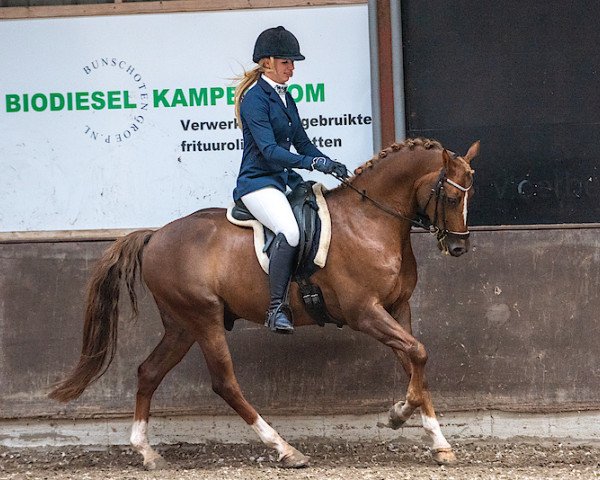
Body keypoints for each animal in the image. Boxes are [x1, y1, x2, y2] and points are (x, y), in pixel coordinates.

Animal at [49, 138, 480, 468]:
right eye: (449, 195)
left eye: (469, 194)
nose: (459, 247)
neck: (371, 220)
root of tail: (155, 235)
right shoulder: (365, 313)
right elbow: (418, 354)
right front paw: (397, 415)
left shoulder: (396, 308)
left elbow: (414, 362)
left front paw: (437, 441)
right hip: (203, 318)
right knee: (224, 383)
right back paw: (285, 449)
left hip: (181, 325)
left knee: (148, 372)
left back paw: (147, 453)